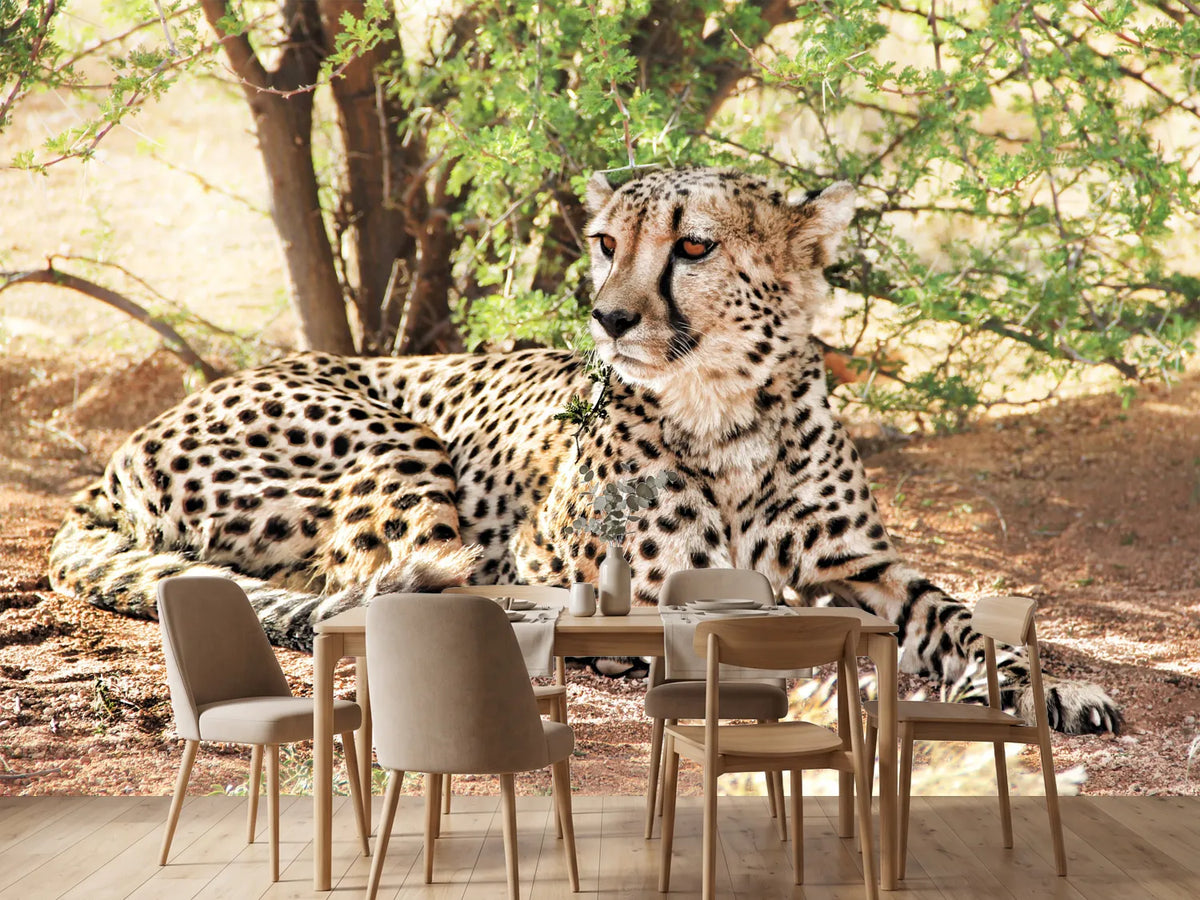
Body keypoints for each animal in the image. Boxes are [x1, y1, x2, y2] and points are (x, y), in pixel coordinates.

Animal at [49, 166, 1119, 735]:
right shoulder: (642, 593)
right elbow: (757, 644)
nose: (606, 317)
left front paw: (1047, 686)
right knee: (385, 593)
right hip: (396, 446)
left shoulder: (857, 569)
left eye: (694, 247)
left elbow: (958, 618)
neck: (728, 409)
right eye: (607, 241)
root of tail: (115, 458)